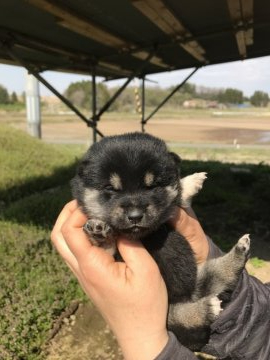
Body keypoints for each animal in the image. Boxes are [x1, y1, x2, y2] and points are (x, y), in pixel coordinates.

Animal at [70, 132, 250, 352]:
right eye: (111, 189)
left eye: (152, 186)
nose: (135, 216)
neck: (143, 236)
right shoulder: (112, 256)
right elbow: (105, 246)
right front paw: (98, 229)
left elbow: (177, 197)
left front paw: (189, 183)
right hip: (171, 310)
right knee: (181, 316)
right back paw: (207, 308)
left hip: (201, 277)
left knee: (223, 274)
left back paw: (239, 251)